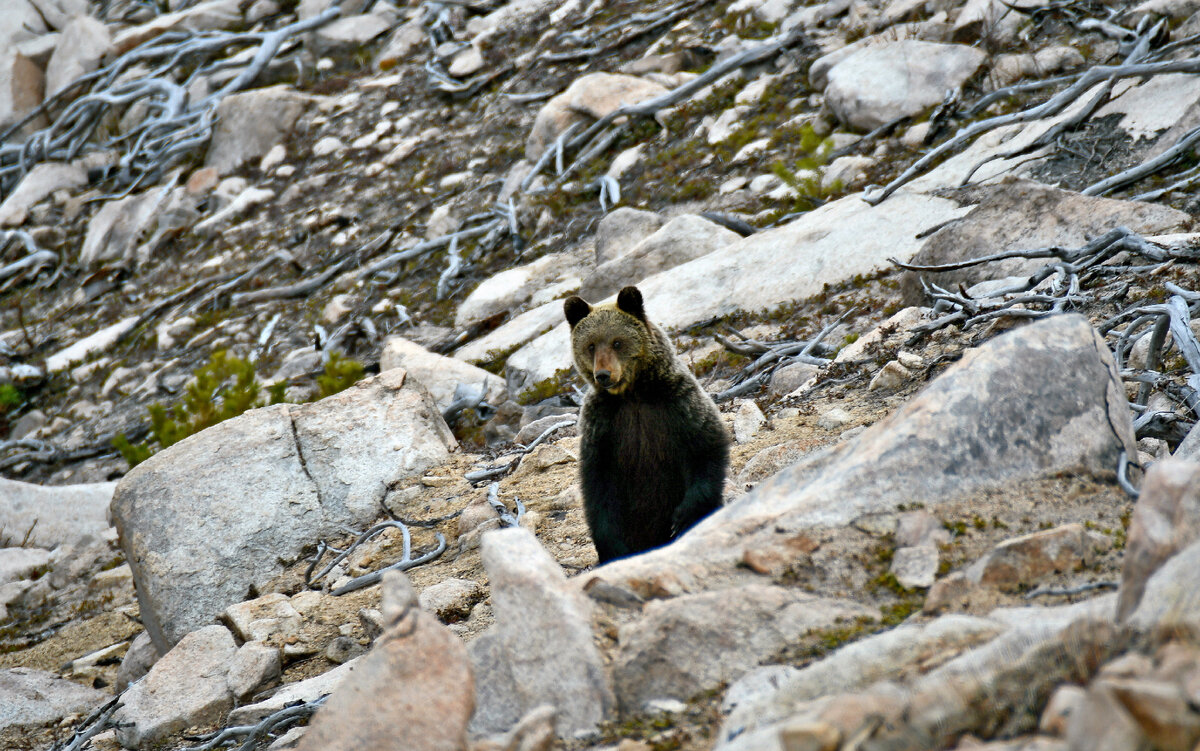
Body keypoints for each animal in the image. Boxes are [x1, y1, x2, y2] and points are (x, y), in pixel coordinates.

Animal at [564, 283, 729, 559]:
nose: (603, 375)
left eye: (617, 342)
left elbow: (706, 448)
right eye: (591, 345)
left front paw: (681, 518)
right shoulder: (602, 426)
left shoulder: (678, 404)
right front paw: (612, 545)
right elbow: (597, 487)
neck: (634, 394)